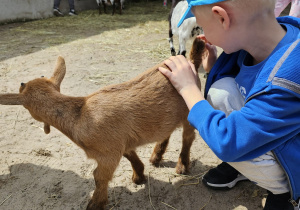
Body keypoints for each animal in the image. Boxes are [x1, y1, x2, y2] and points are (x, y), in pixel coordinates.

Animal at [0, 38, 206, 210]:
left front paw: (94, 204)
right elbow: (130, 155)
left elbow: (99, 177)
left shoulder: (108, 154)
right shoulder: (119, 143)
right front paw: (139, 176)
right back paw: (156, 157)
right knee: (166, 131)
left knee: (188, 137)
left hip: (188, 111)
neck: (80, 115)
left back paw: (182, 166)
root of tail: (191, 61)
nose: (21, 83)